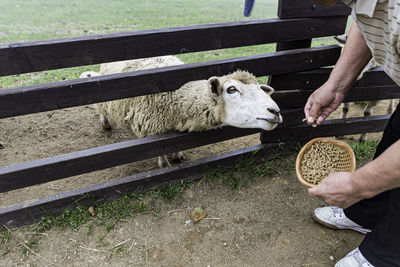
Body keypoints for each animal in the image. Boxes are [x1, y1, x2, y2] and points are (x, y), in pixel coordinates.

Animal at [79, 56, 282, 168]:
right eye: (231, 89)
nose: (275, 111)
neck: (177, 98)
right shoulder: (152, 129)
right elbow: (159, 149)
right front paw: (164, 164)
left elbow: (175, 143)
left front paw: (177, 155)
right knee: (102, 107)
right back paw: (105, 123)